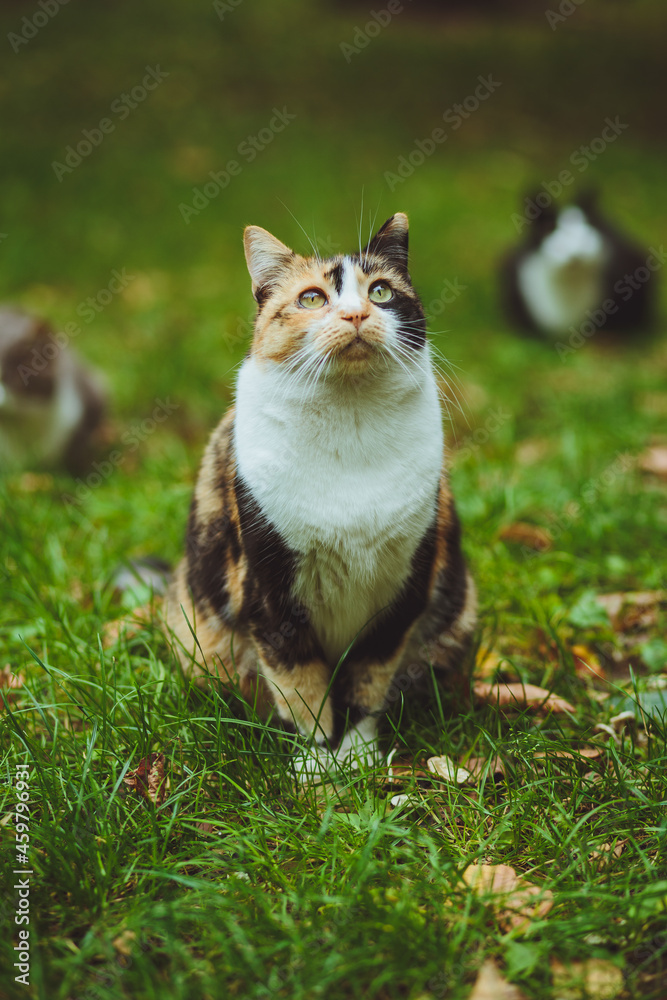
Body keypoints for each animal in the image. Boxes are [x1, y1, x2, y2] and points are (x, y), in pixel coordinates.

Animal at [166, 215, 480, 768]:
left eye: (380, 291)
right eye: (312, 298)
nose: (356, 313)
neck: (350, 423)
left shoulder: (403, 589)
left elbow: (368, 677)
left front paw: (356, 756)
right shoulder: (268, 592)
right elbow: (299, 684)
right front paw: (317, 763)